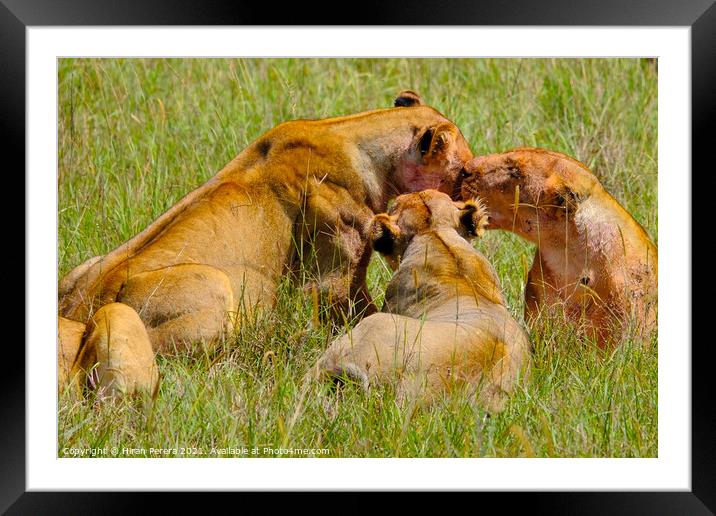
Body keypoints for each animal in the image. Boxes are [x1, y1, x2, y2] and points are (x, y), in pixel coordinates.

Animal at [58, 90, 472, 396]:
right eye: (465, 169)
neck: (353, 137)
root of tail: (78, 314)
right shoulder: (333, 279)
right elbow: (362, 317)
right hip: (213, 286)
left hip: (83, 267)